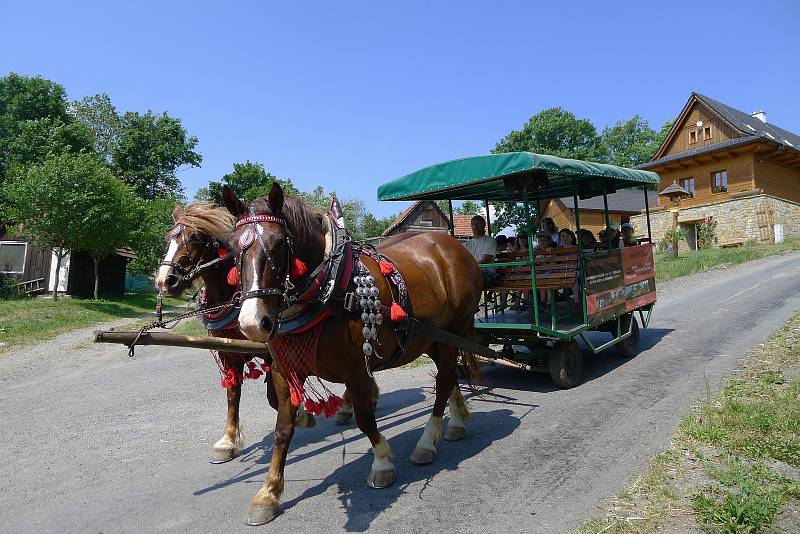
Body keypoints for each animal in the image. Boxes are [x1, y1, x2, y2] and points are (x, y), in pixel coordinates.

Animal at [155, 201, 318, 464]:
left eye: (195, 237)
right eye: (169, 237)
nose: (164, 281)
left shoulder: (271, 350)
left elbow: (274, 396)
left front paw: (301, 413)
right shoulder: (227, 351)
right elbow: (233, 392)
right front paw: (227, 441)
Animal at [220, 184, 482, 528]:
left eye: (278, 245)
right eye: (232, 247)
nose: (253, 322)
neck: (328, 288)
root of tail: (452, 245)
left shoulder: (357, 370)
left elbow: (365, 419)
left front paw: (382, 462)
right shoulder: (283, 371)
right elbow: (282, 430)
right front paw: (268, 493)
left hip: (453, 332)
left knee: (442, 384)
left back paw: (427, 442)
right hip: (431, 339)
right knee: (449, 376)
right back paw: (457, 423)